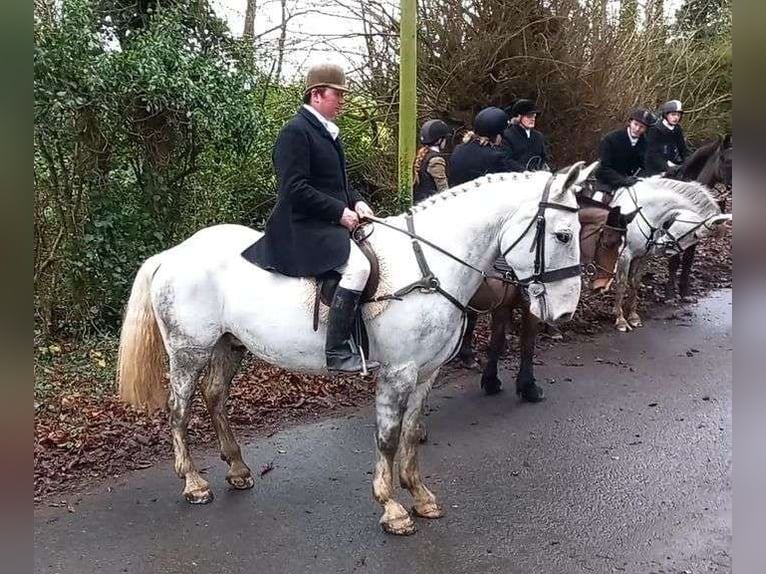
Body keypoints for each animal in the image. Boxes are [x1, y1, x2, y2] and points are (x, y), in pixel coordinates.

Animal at [117, 162, 588, 536]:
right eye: (564, 235)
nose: (564, 312)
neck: (430, 265)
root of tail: (173, 253)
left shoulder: (426, 371)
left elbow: (412, 433)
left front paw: (420, 496)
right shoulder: (398, 371)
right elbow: (388, 437)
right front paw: (393, 508)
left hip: (228, 346)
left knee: (214, 397)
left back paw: (236, 468)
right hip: (188, 350)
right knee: (179, 410)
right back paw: (194, 483)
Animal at [456, 196, 636, 402]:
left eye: (623, 245)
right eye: (608, 242)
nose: (604, 284)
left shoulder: (503, 305)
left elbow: (497, 340)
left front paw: (491, 380)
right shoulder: (528, 307)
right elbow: (527, 343)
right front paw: (528, 387)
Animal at [612, 179, 732, 332]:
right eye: (695, 235)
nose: (665, 249)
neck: (643, 212)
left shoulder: (643, 256)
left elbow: (635, 282)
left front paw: (633, 316)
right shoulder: (625, 255)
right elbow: (621, 285)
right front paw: (620, 319)